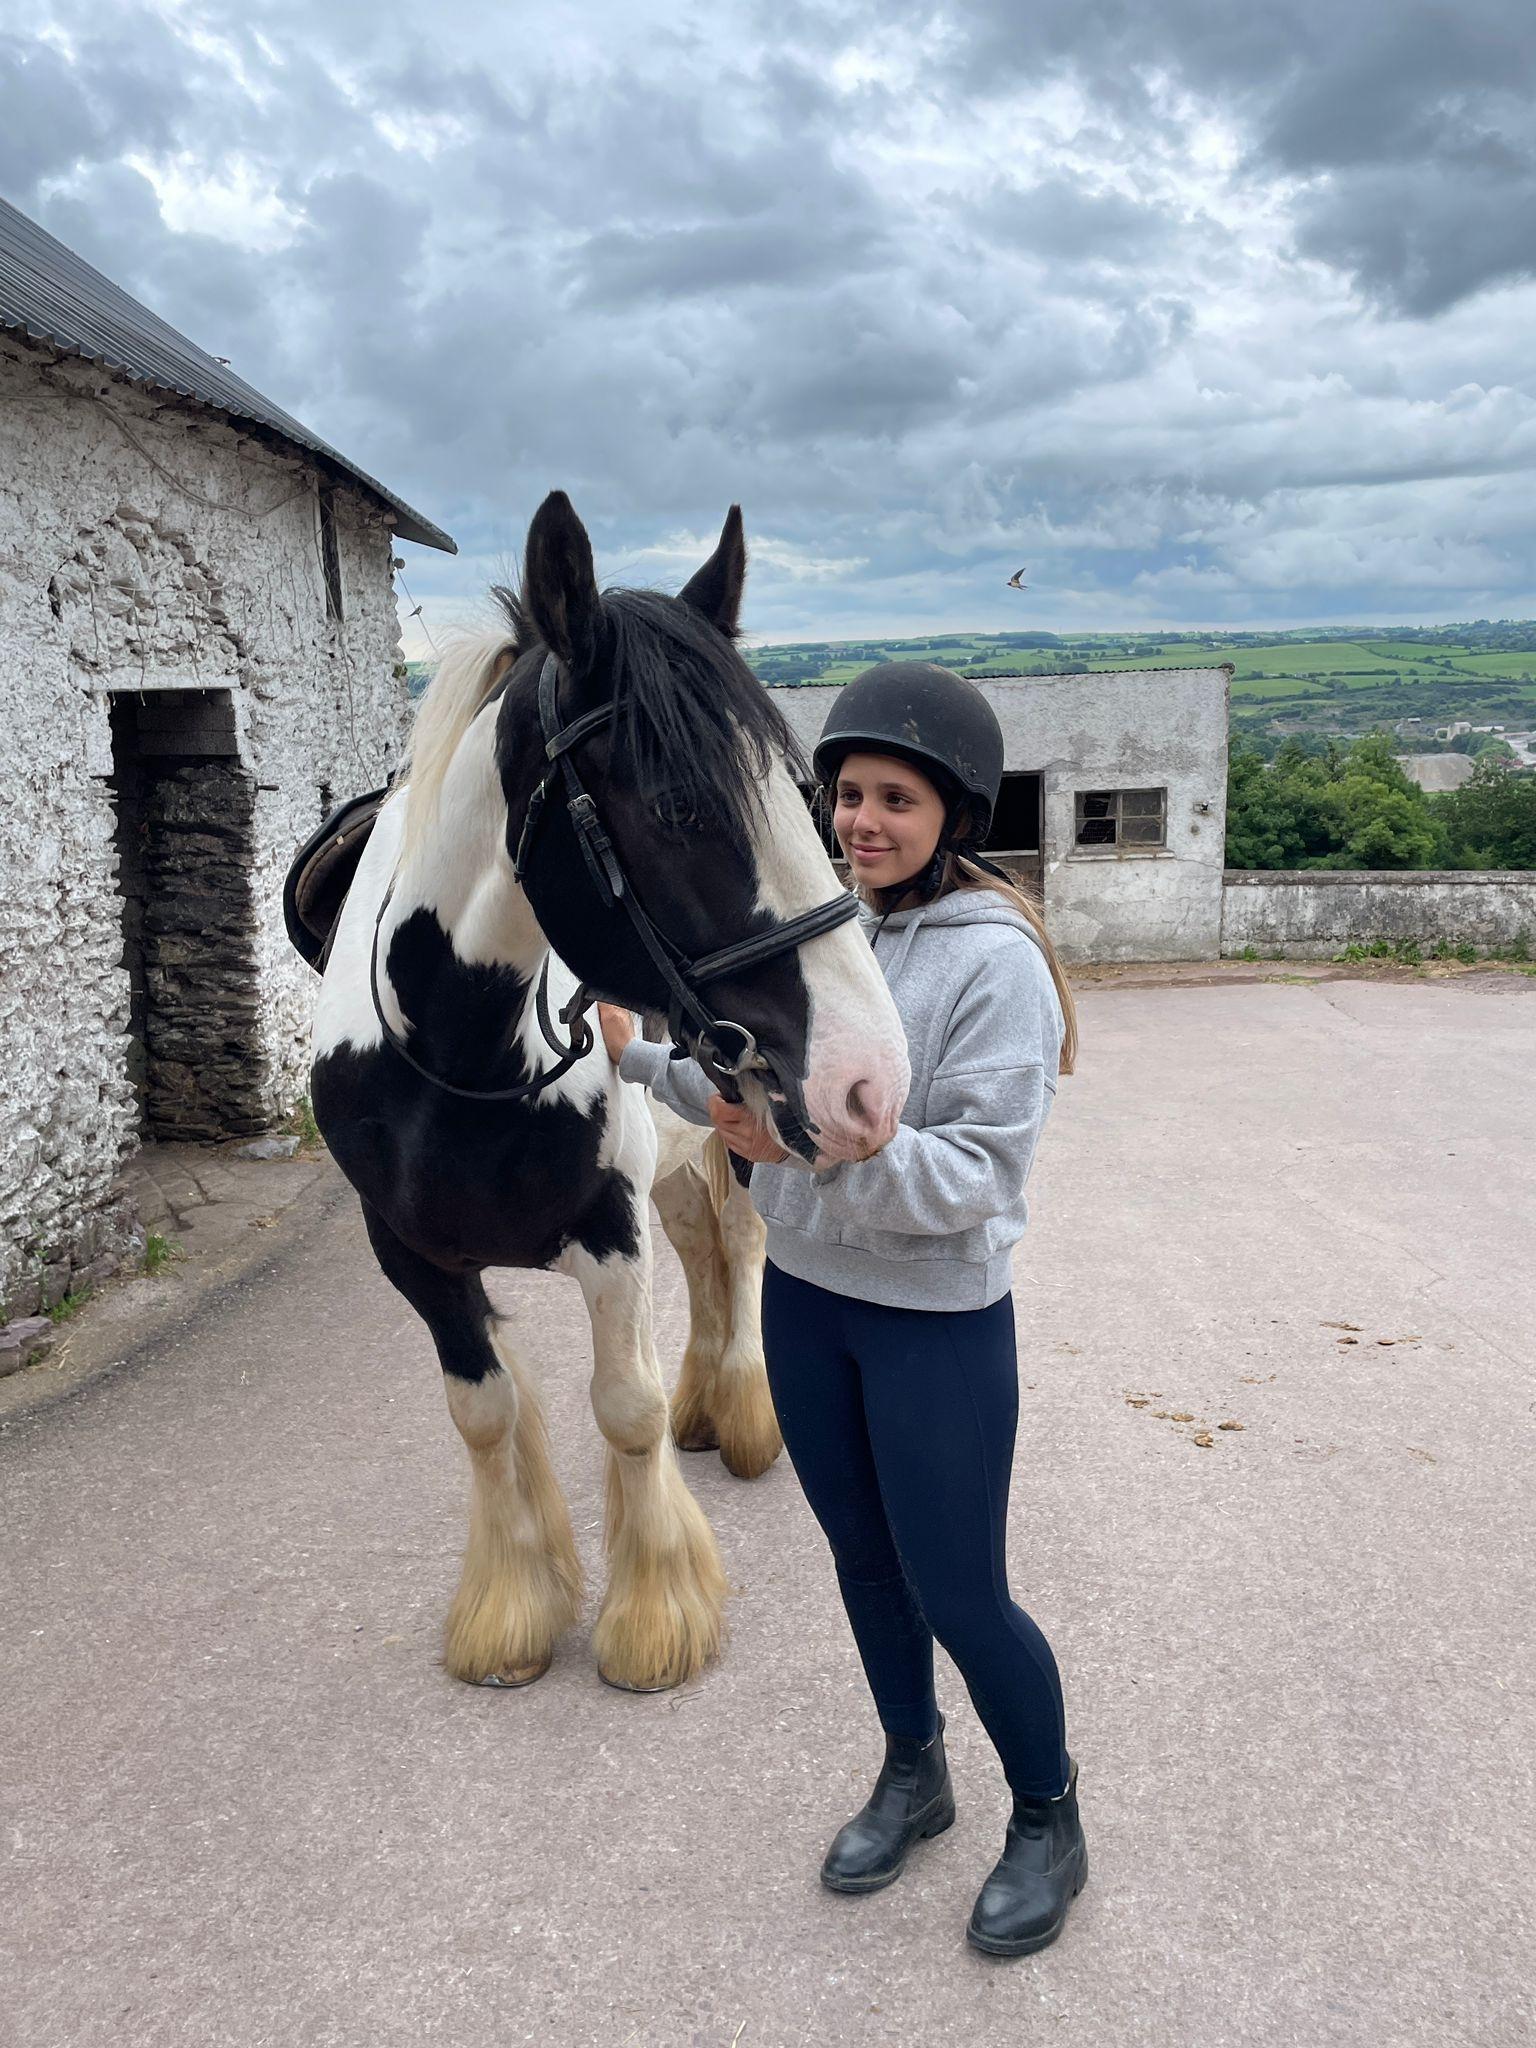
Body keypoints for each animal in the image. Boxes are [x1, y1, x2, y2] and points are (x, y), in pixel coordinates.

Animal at [308, 490, 909, 1693]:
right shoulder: (411, 1255)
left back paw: (743, 1411)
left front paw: (651, 1616)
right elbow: (485, 1413)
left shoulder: (608, 1232)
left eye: (809, 795)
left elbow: (623, 1410)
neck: (457, 1062)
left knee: (743, 1250)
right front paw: (510, 1611)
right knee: (707, 1250)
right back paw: (708, 1405)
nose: (871, 1076)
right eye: (678, 806)